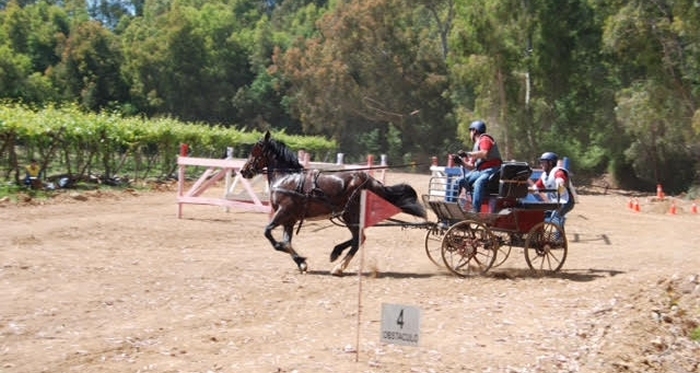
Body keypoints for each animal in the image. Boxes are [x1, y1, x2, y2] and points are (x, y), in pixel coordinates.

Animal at [241, 130, 426, 274]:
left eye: (255, 151)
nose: (243, 171)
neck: (287, 178)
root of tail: (370, 180)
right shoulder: (290, 219)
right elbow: (286, 242)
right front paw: (301, 262)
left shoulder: (283, 212)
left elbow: (269, 234)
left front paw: (300, 259)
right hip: (349, 216)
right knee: (358, 238)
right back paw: (336, 253)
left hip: (350, 215)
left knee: (359, 238)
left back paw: (339, 266)